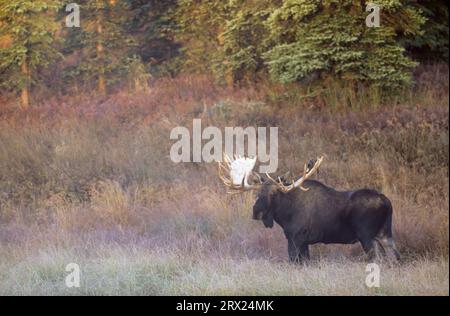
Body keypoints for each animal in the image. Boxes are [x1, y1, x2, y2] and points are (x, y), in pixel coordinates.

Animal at [218, 155, 400, 262]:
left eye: (274, 194)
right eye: (257, 193)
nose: (257, 212)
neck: (284, 215)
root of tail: (387, 202)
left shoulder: (295, 239)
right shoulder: (304, 242)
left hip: (367, 236)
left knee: (379, 259)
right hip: (385, 234)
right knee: (394, 257)